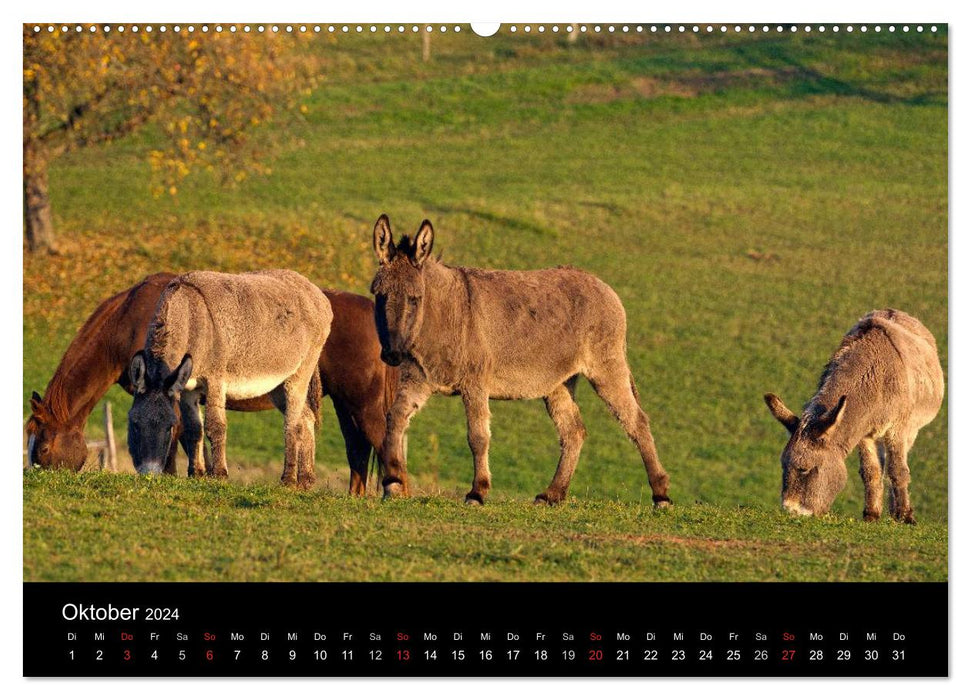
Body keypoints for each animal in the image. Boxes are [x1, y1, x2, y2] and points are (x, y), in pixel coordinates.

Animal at [26, 270, 398, 494]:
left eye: (42, 448)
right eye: (132, 425)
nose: (148, 474)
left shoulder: (213, 380)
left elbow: (212, 428)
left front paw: (211, 474)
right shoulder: (187, 387)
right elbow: (193, 430)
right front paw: (196, 474)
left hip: (315, 381)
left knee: (304, 426)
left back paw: (294, 480)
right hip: (289, 388)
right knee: (315, 425)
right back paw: (307, 481)